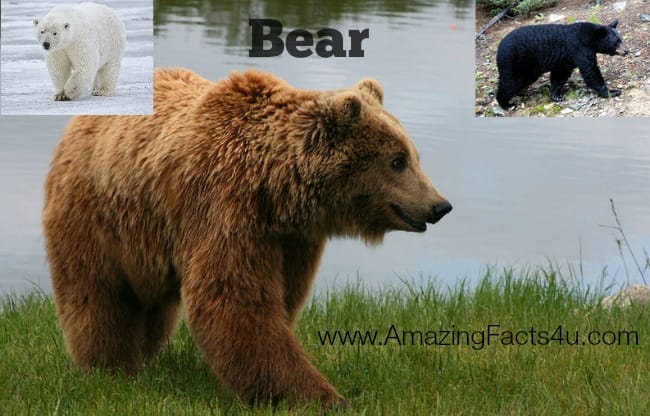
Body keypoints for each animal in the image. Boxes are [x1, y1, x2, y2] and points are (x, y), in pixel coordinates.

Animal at [42, 68, 452, 410]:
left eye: (413, 155)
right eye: (397, 160)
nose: (439, 205)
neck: (275, 189)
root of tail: (75, 128)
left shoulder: (291, 240)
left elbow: (281, 298)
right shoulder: (225, 207)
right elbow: (236, 300)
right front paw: (322, 396)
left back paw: (143, 354)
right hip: (97, 216)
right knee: (98, 293)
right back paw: (110, 366)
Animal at [495, 20, 629, 109]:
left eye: (620, 39)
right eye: (616, 42)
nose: (627, 50)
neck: (590, 39)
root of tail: (499, 48)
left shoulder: (565, 59)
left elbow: (560, 76)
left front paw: (556, 95)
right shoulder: (580, 49)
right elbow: (590, 71)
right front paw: (612, 91)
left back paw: (520, 92)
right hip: (515, 61)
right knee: (510, 82)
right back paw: (506, 103)